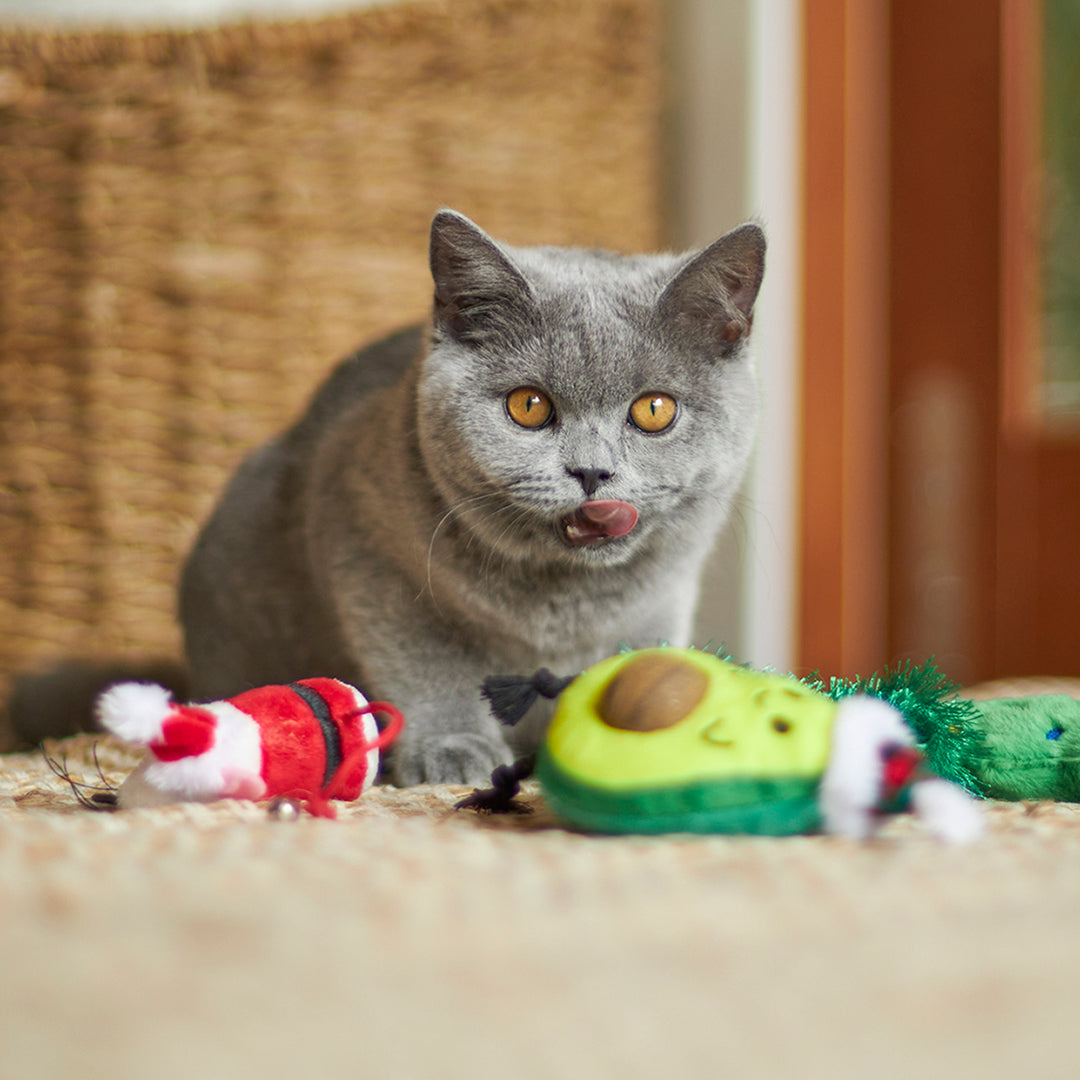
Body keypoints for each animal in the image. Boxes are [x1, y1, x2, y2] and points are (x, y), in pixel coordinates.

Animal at [179, 210, 768, 786]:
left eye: (654, 410)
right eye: (528, 405)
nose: (592, 471)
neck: (564, 601)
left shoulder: (663, 602)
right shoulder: (368, 553)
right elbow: (428, 668)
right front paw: (453, 748)